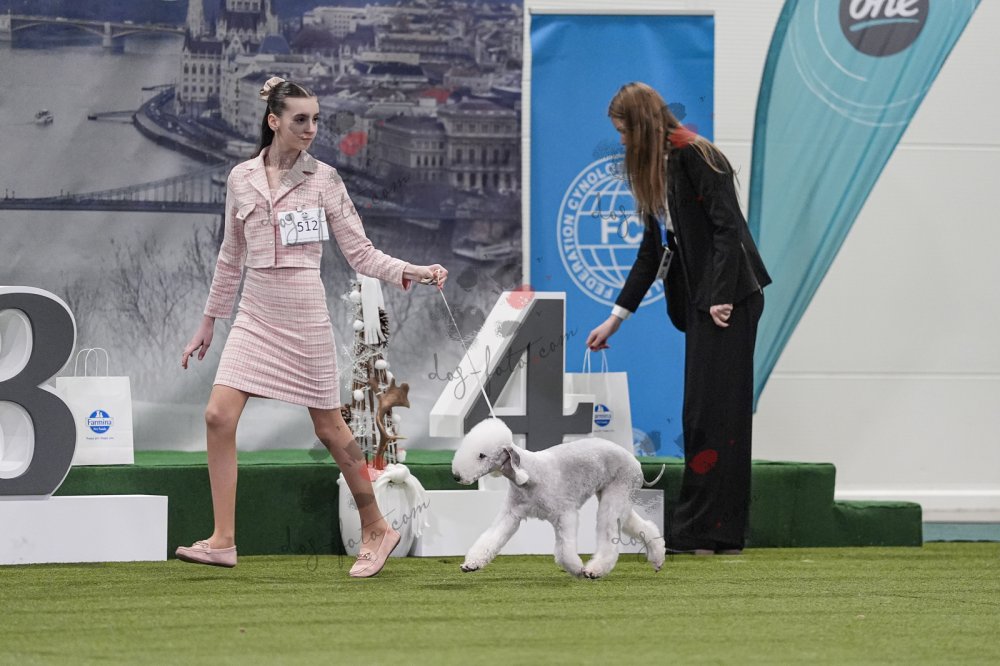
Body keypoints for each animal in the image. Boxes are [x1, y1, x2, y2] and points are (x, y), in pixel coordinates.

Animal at [451, 418, 665, 578]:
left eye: (481, 455)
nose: (456, 476)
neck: (529, 475)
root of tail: (635, 461)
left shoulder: (566, 514)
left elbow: (564, 551)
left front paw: (577, 569)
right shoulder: (510, 514)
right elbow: (490, 538)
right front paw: (472, 564)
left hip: (615, 496)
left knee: (609, 536)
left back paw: (594, 570)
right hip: (619, 499)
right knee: (642, 526)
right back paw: (657, 559)